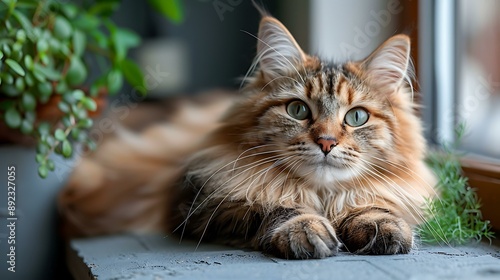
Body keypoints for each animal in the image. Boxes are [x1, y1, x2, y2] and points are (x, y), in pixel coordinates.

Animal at [58, 14, 438, 258]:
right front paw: (305, 230)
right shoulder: (201, 208)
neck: (320, 196)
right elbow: (276, 205)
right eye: (298, 110)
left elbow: (369, 204)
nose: (327, 142)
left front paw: (381, 226)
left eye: (357, 117)